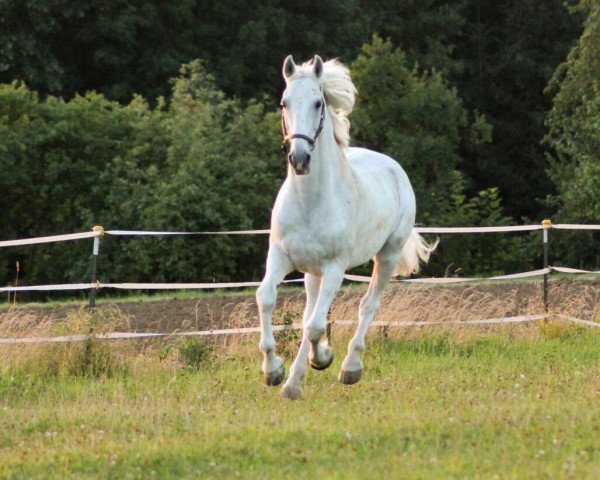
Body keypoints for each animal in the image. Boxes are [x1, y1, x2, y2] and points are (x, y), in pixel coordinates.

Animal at [258, 54, 436, 400]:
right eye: (284, 102)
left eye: (318, 102)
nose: (299, 159)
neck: (310, 202)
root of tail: (393, 166)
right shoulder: (281, 256)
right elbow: (267, 299)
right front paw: (273, 371)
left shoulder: (335, 267)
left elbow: (315, 326)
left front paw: (322, 358)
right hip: (311, 272)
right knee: (310, 313)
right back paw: (293, 384)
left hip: (386, 256)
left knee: (367, 307)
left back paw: (349, 368)